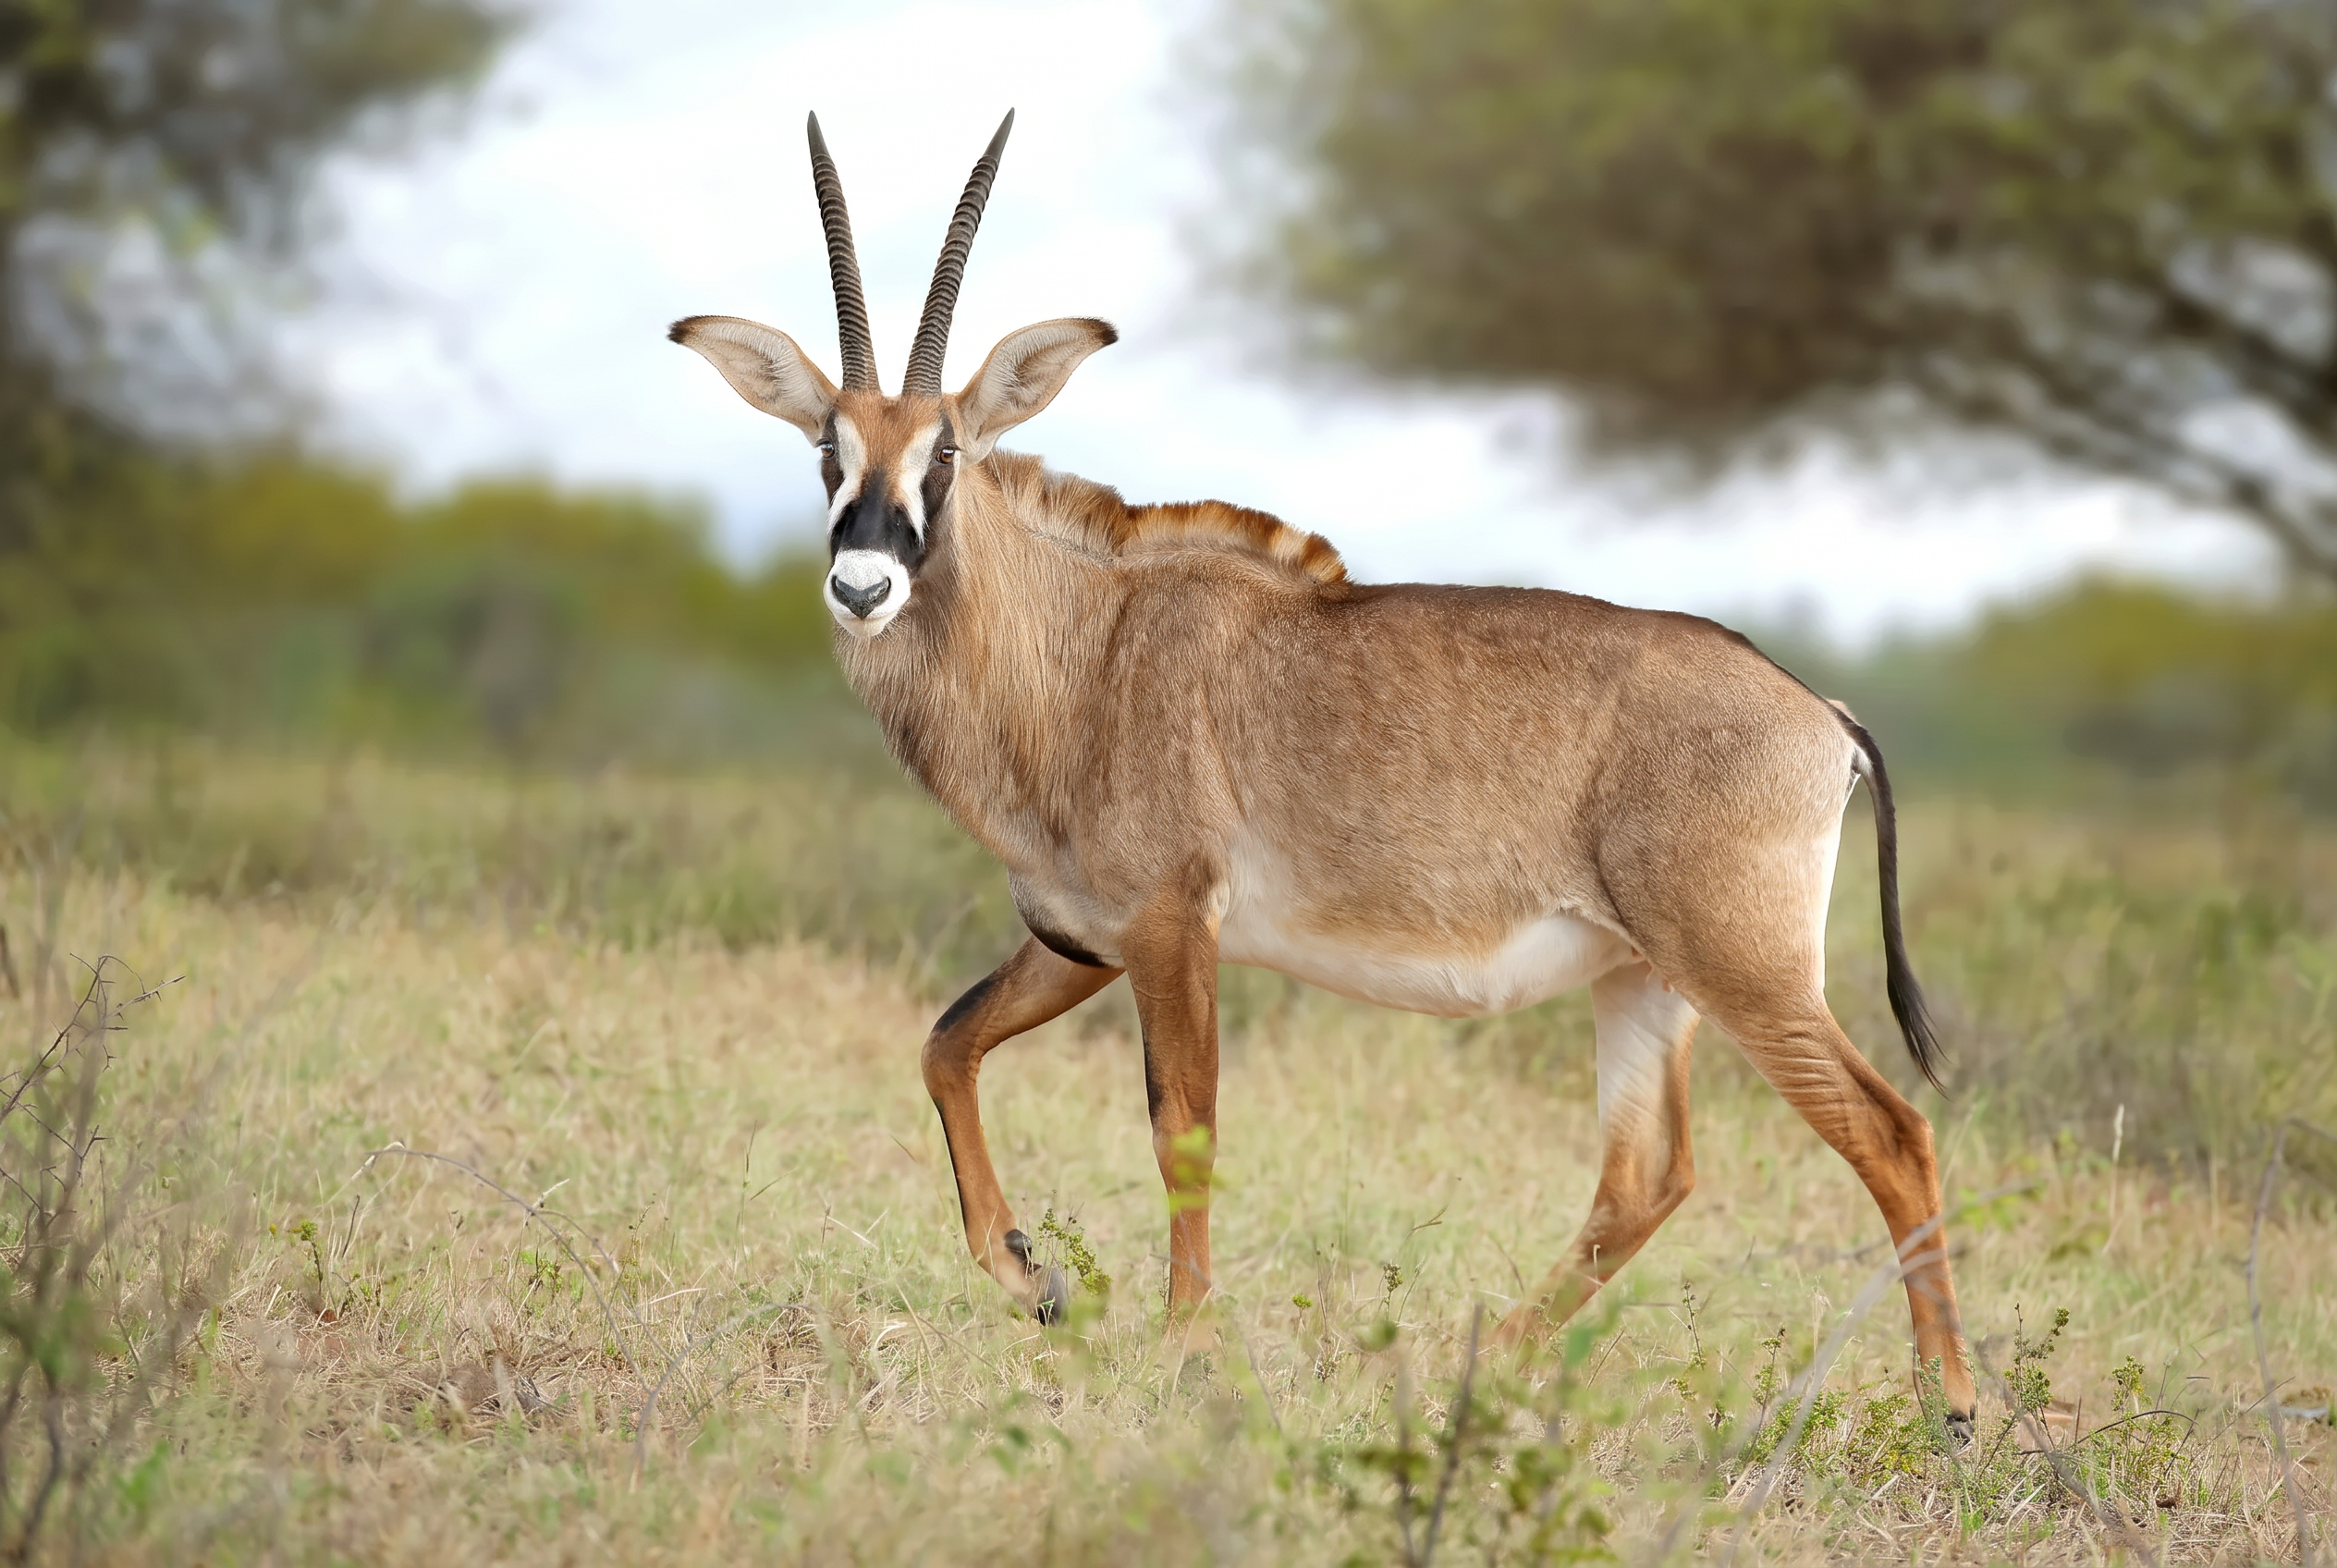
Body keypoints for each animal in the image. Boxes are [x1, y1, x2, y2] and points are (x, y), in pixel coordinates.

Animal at [669, 112, 1978, 1433]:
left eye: (944, 450)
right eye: (826, 447)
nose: (862, 584)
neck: (1083, 643)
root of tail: (1819, 712)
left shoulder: (1169, 929)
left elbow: (1181, 1128)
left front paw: (1187, 1350)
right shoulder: (1079, 939)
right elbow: (945, 1043)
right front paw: (1031, 1277)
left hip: (1744, 969)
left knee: (1891, 1133)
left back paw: (1951, 1404)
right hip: (1643, 978)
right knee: (1646, 1175)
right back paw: (1481, 1365)